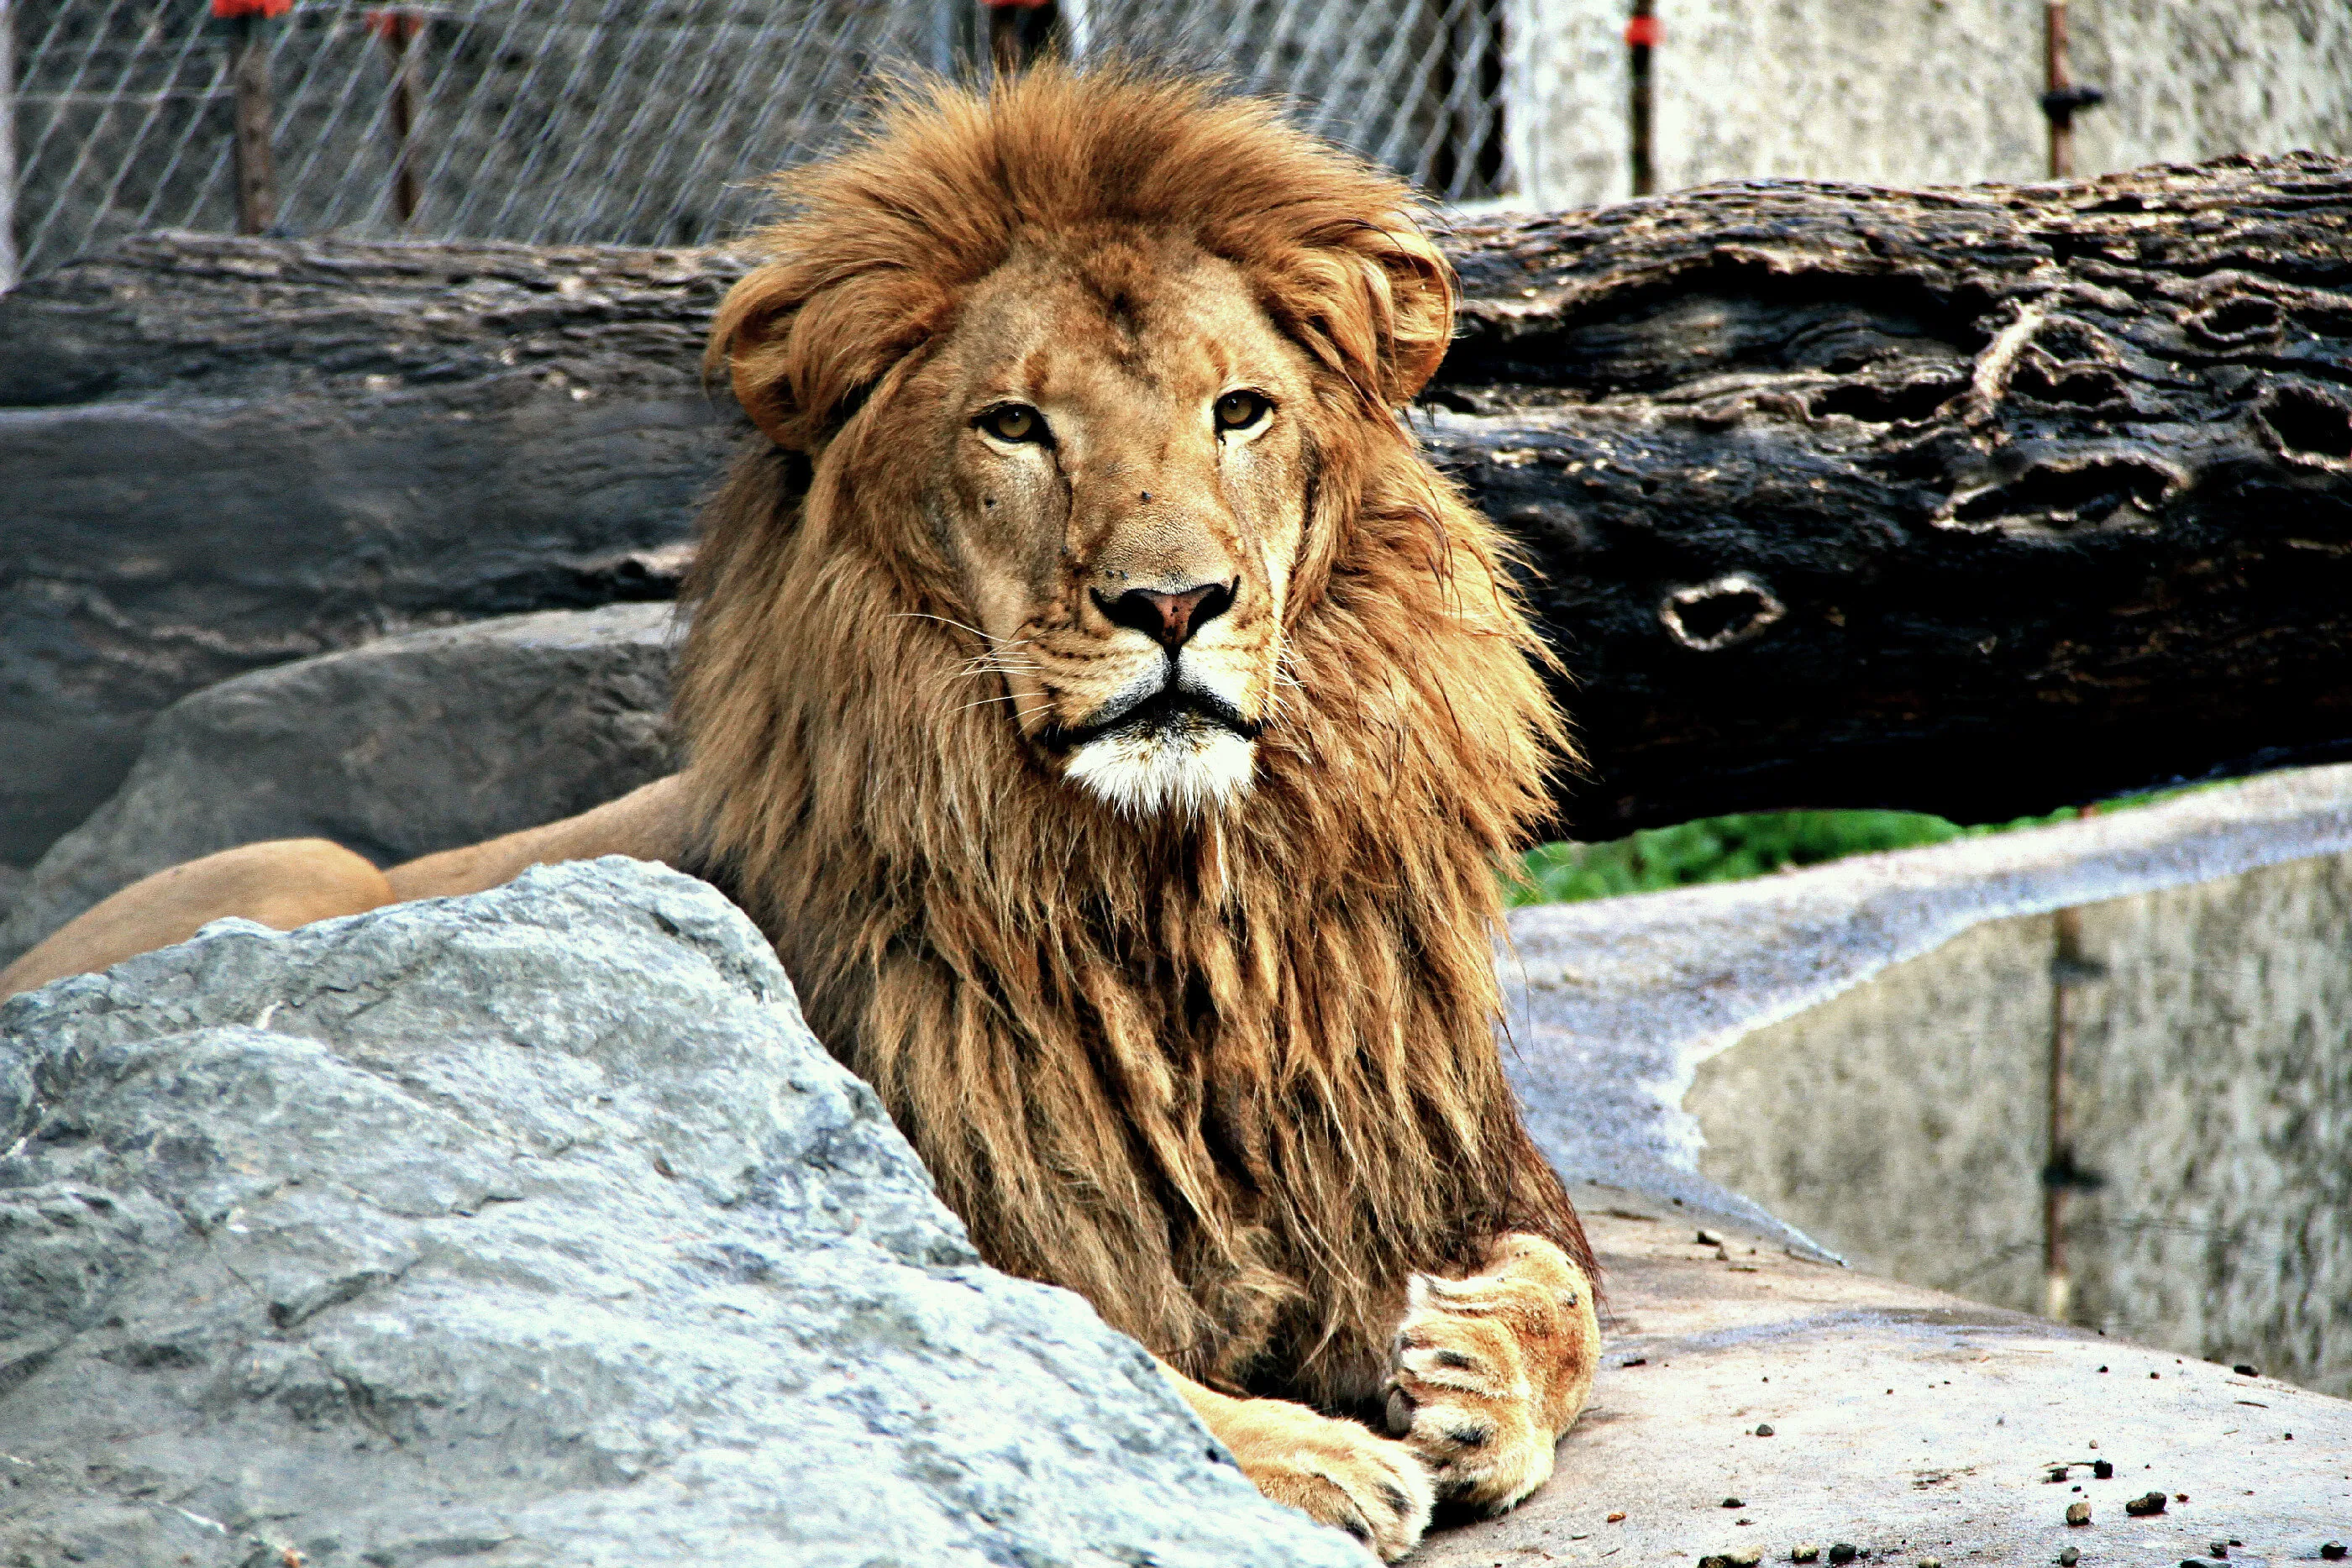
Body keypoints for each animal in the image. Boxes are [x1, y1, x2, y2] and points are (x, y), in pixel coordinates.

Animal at [1, 69, 1599, 1560]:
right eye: (1015, 427)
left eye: (1241, 410)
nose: (1173, 602)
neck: (1162, 888)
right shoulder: (922, 1210)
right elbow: (1073, 1351)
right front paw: (1318, 1453)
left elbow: (1567, 1287)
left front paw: (1471, 1372)